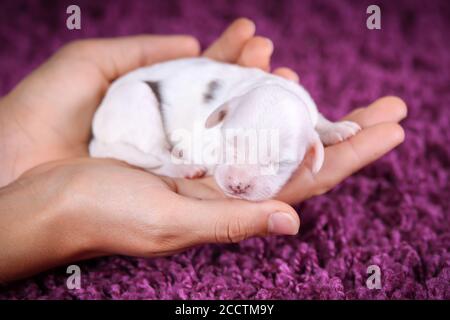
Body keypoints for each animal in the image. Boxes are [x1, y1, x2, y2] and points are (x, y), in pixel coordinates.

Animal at [89, 56, 360, 199]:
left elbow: (318, 120)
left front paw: (336, 128)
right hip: (137, 98)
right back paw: (185, 168)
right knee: (156, 155)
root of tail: (96, 136)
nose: (237, 186)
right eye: (230, 143)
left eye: (280, 163)